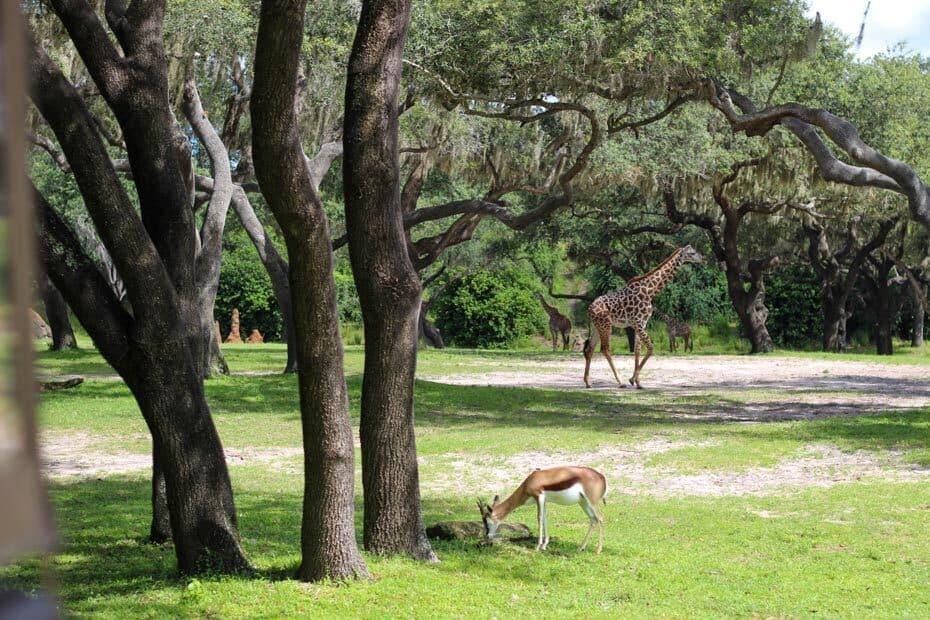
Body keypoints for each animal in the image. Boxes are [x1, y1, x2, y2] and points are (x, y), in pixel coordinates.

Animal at [474, 464, 604, 552]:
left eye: (486, 522)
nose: (486, 538)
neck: (530, 481)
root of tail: (601, 477)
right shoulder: (544, 500)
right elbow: (545, 518)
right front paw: (545, 545)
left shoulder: (539, 497)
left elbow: (539, 518)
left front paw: (538, 546)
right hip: (583, 502)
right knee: (593, 520)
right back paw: (581, 547)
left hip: (592, 502)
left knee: (601, 518)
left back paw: (598, 550)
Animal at [580, 246, 704, 388]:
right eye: (692, 253)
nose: (702, 258)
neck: (650, 291)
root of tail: (590, 308)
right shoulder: (638, 323)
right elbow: (650, 348)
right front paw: (632, 380)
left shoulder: (641, 324)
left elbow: (637, 350)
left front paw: (637, 381)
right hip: (606, 325)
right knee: (605, 349)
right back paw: (620, 381)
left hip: (597, 326)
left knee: (589, 349)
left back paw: (588, 382)